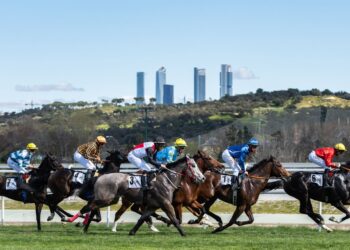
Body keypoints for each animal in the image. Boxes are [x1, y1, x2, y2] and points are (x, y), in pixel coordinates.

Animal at [74, 156, 205, 236]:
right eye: (193, 166)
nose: (203, 178)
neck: (166, 180)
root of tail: (99, 177)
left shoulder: (153, 205)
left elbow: (143, 218)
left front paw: (132, 232)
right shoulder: (166, 203)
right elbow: (174, 219)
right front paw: (183, 233)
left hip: (111, 200)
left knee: (92, 209)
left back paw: (84, 228)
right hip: (106, 198)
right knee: (88, 207)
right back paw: (74, 220)